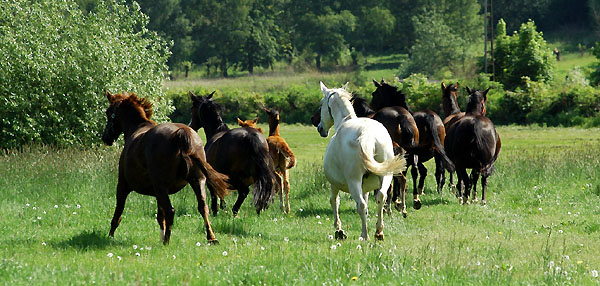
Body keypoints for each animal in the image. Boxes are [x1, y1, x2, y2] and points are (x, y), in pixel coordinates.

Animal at [101, 91, 230, 244]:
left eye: (109, 112)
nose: (105, 138)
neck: (138, 128)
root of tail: (181, 134)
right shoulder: (158, 192)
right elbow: (160, 216)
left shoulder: (123, 185)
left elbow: (118, 212)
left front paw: (110, 236)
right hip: (197, 181)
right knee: (203, 207)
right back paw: (211, 237)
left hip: (161, 186)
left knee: (170, 210)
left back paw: (166, 242)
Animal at [316, 82, 406, 241]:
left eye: (321, 105)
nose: (320, 128)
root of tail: (366, 134)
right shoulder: (366, 188)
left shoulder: (334, 184)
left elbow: (334, 201)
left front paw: (339, 229)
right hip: (386, 176)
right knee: (381, 197)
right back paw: (379, 231)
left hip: (354, 181)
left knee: (361, 205)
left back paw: (365, 235)